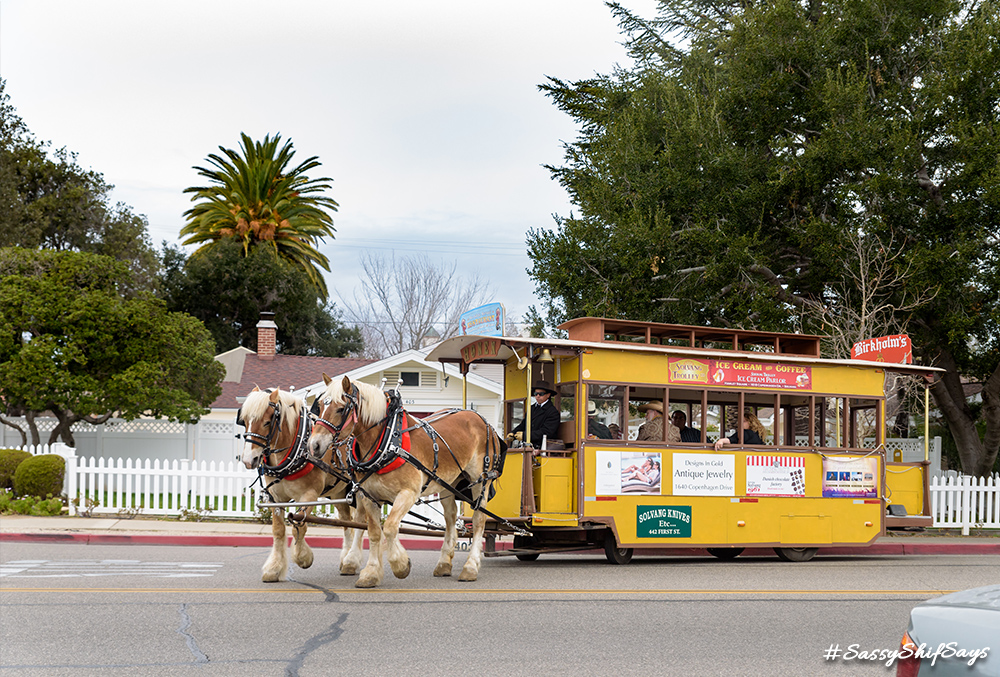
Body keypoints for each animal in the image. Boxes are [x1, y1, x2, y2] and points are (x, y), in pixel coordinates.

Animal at [237, 386, 364, 580]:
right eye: (244, 421)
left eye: (267, 422)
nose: (248, 460)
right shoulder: (275, 498)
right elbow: (278, 530)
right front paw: (274, 567)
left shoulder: (309, 495)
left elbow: (300, 526)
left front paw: (303, 557)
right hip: (339, 492)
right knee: (346, 521)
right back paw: (346, 560)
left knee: (362, 522)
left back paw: (353, 560)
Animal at [306, 374, 508, 588]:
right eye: (320, 405)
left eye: (340, 408)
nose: (314, 445)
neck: (388, 441)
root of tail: (483, 421)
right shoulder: (369, 496)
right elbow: (375, 532)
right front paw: (371, 573)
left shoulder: (408, 493)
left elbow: (390, 527)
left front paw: (400, 565)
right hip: (448, 484)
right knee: (451, 518)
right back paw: (444, 563)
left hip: (481, 480)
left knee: (479, 521)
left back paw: (470, 567)